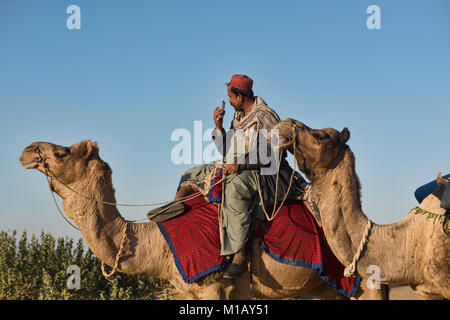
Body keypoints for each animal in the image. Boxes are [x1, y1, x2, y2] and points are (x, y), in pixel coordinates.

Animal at [18, 139, 384, 298]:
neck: (158, 243)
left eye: (62, 152)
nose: (27, 150)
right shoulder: (183, 289)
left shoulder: (214, 285)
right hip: (323, 287)